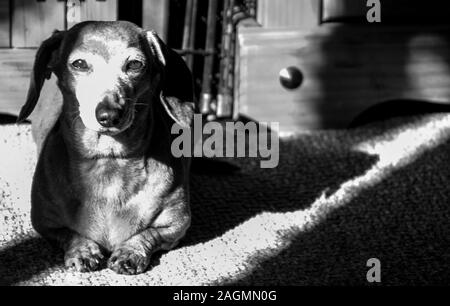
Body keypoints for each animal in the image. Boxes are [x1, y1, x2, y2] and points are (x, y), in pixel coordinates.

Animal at [17, 21, 195, 274]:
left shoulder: (176, 225)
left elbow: (148, 234)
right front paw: (83, 250)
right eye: (79, 64)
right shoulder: (45, 223)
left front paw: (130, 252)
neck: (109, 159)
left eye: (135, 64)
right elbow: (70, 234)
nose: (109, 115)